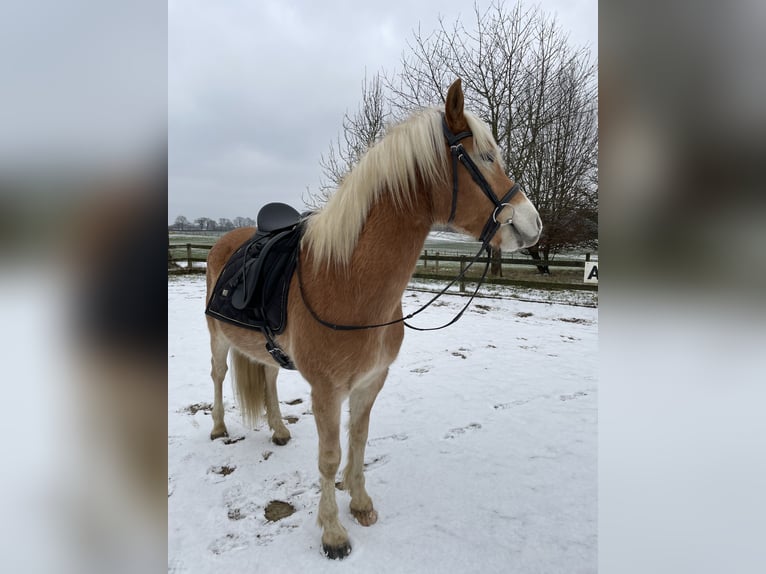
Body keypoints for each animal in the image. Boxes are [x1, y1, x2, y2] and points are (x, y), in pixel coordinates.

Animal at [204, 79, 540, 560]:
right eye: (486, 156)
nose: (533, 224)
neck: (348, 281)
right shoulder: (327, 391)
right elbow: (329, 458)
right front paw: (333, 533)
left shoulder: (370, 382)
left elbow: (359, 441)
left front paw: (360, 503)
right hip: (217, 338)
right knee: (217, 375)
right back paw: (217, 428)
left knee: (267, 377)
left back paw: (279, 430)